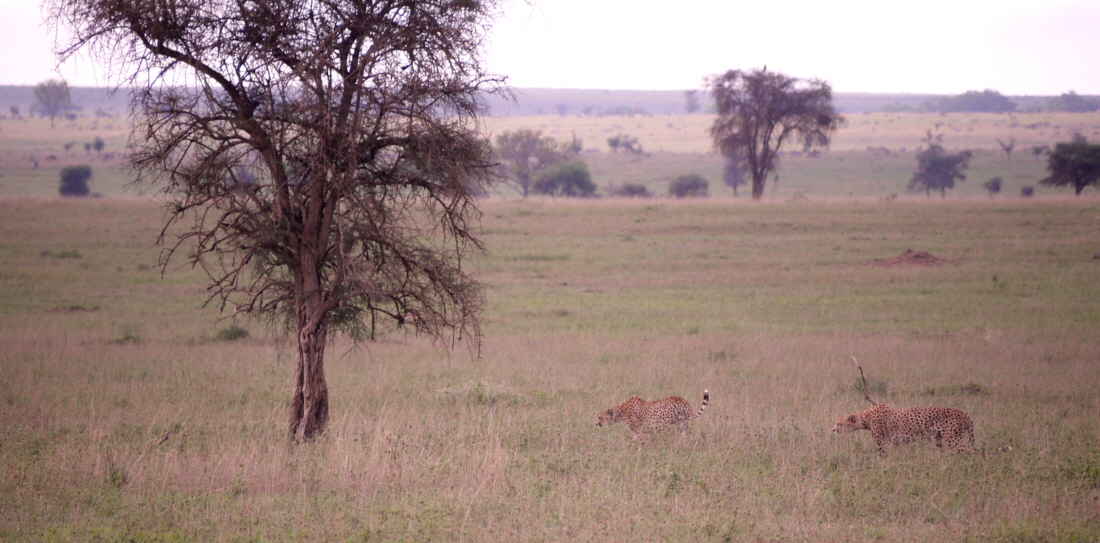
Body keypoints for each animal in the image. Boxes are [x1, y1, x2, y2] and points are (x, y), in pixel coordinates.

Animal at [827, 402, 976, 452]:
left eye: (839, 423)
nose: (833, 430)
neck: (866, 418)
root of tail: (965, 414)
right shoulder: (898, 442)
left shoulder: (882, 443)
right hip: (939, 437)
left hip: (953, 438)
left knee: (963, 451)